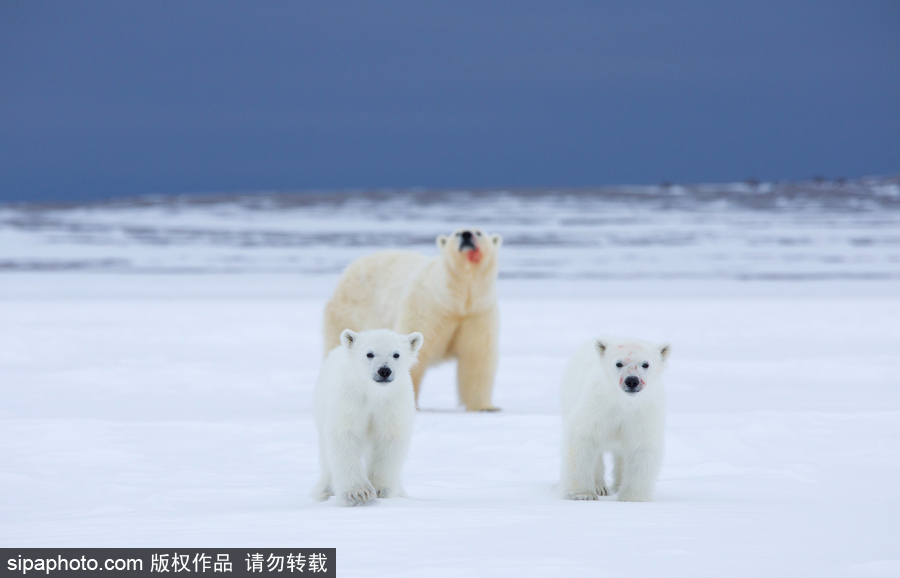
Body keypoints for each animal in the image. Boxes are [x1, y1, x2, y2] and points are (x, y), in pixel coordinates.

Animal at [312, 328, 424, 504]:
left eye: (396, 354)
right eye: (369, 353)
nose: (384, 371)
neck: (373, 393)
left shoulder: (392, 404)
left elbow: (389, 439)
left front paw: (380, 488)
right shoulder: (350, 399)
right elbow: (345, 435)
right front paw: (358, 493)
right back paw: (325, 490)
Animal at [324, 227, 502, 412]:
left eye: (478, 232)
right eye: (457, 234)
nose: (467, 234)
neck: (455, 300)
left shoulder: (478, 312)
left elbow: (477, 355)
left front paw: (486, 407)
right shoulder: (426, 307)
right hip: (351, 312)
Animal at [560, 338, 672, 500]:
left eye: (646, 364)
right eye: (619, 363)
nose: (632, 381)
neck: (623, 403)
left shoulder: (643, 414)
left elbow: (641, 447)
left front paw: (631, 497)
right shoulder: (597, 406)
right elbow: (583, 438)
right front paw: (583, 494)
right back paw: (599, 486)